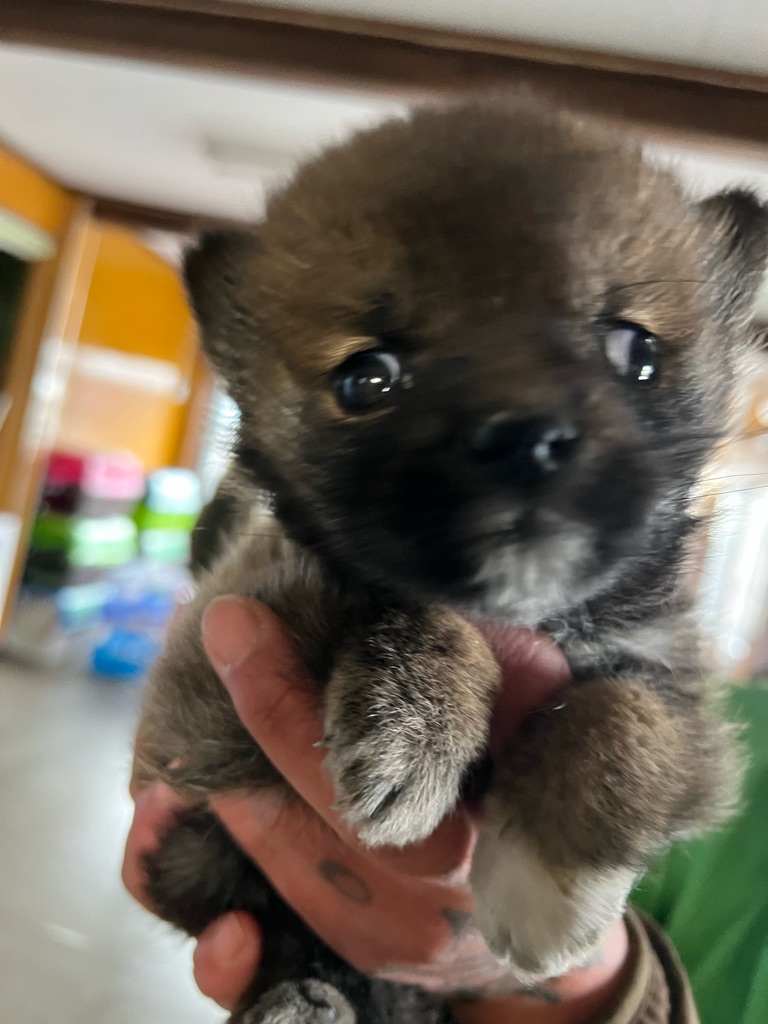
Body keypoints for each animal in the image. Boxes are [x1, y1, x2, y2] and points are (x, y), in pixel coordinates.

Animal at [133, 93, 768, 1023]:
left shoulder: (687, 700)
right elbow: (393, 597)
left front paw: (546, 889)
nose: (524, 439)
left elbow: (625, 715)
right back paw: (302, 999)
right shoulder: (209, 681)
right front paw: (414, 727)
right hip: (193, 853)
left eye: (636, 351)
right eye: (367, 379)